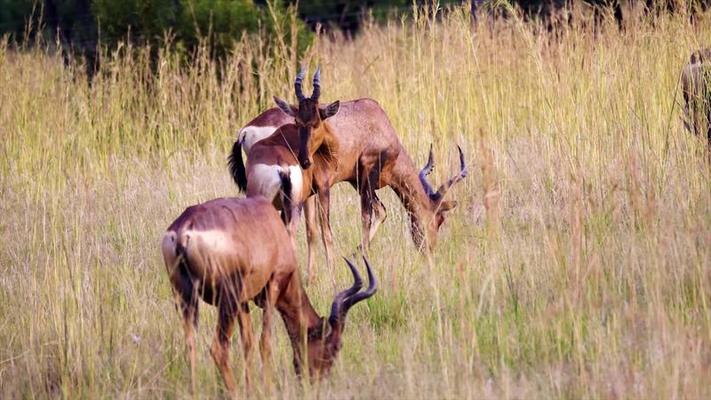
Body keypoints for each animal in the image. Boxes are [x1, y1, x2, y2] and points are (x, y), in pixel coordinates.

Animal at [161, 192, 378, 396]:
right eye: (336, 345)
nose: (315, 382)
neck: (274, 227)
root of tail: (184, 229)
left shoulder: (244, 301)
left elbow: (248, 342)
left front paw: (251, 390)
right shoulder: (273, 287)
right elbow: (264, 342)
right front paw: (267, 390)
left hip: (184, 296)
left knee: (190, 344)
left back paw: (193, 391)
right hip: (227, 298)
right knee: (218, 348)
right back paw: (234, 392)